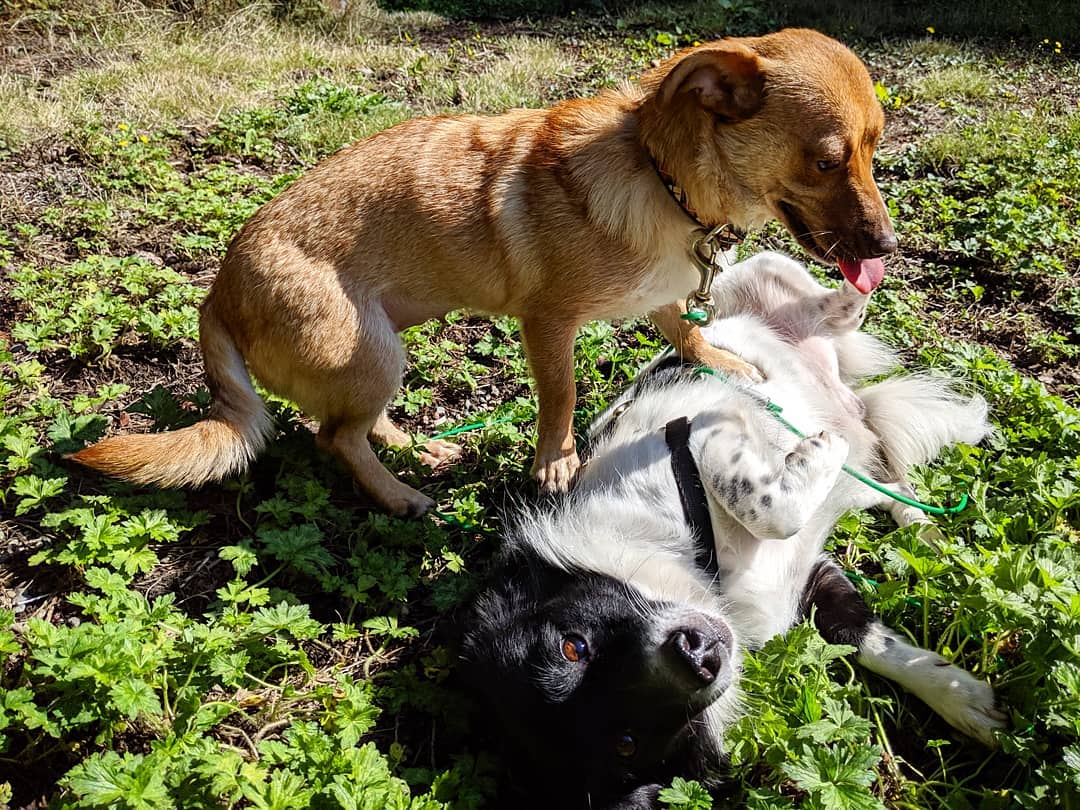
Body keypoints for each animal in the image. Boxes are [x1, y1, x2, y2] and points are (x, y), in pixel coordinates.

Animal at [73, 30, 894, 520]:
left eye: (874, 147)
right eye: (826, 161)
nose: (886, 246)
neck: (658, 173)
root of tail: (217, 293)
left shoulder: (666, 297)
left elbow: (687, 336)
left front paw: (722, 359)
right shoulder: (549, 324)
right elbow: (561, 399)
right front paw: (557, 463)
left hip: (379, 355)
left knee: (344, 426)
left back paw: (415, 449)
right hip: (372, 352)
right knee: (334, 438)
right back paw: (399, 495)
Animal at [460, 250, 1006, 807]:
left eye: (574, 646)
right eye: (627, 744)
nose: (697, 657)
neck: (705, 572)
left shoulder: (694, 435)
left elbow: (760, 502)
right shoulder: (804, 579)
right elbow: (863, 637)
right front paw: (964, 699)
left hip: (744, 282)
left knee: (812, 312)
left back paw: (848, 298)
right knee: (882, 471)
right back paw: (918, 523)